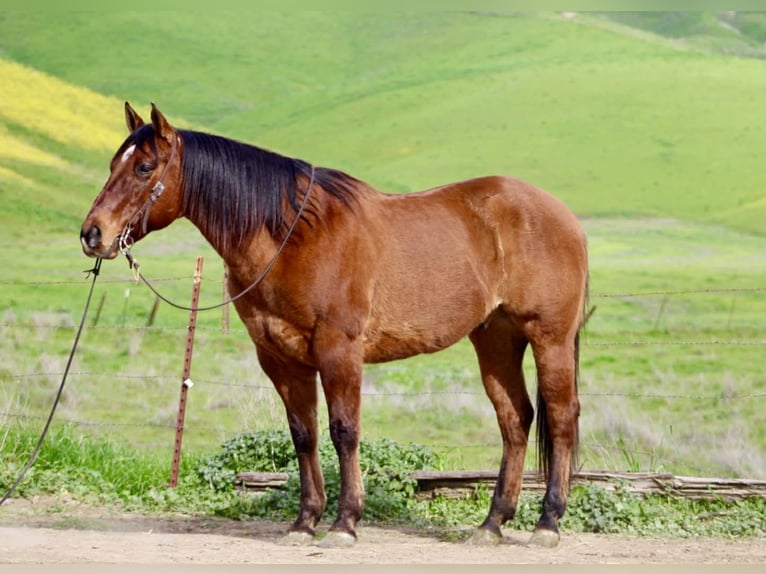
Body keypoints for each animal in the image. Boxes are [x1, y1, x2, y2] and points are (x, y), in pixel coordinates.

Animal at [81, 103, 589, 549]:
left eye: (145, 167)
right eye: (113, 163)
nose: (92, 234)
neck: (292, 237)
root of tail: (566, 217)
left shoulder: (338, 351)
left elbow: (345, 431)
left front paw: (345, 522)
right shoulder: (282, 359)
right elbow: (303, 435)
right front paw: (305, 522)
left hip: (550, 338)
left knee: (562, 416)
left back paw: (548, 523)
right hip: (495, 340)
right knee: (515, 419)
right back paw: (492, 524)